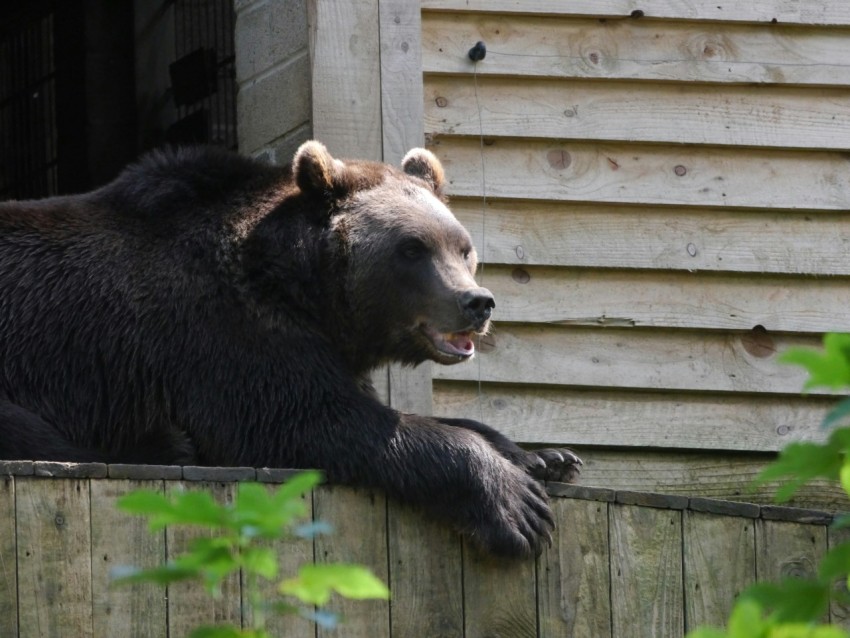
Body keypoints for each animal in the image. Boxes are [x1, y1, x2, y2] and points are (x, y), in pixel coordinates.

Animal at [0, 141, 581, 557]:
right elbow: (308, 418)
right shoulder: (222, 329)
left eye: (463, 248)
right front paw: (516, 507)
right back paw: (165, 444)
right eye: (412, 248)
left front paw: (546, 457)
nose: (476, 302)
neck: (301, 289)